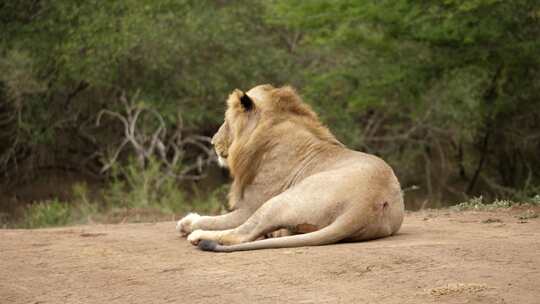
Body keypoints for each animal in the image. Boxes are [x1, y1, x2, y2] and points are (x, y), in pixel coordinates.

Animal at [177, 83, 404, 252]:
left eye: (226, 120)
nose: (212, 142)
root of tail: (367, 205)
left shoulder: (250, 206)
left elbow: (216, 220)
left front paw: (189, 224)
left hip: (280, 201)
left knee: (241, 234)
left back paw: (198, 237)